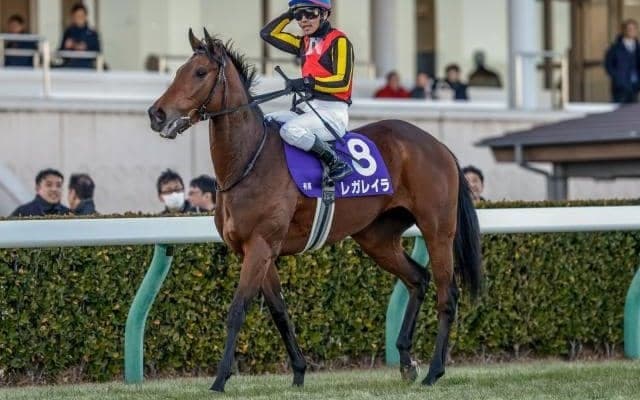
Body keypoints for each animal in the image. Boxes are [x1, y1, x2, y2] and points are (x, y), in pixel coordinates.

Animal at [148, 29, 482, 392]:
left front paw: (220, 378)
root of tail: (439, 146)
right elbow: (279, 311)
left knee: (447, 294)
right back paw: (406, 362)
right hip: (377, 237)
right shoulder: (257, 251)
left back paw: (434, 371)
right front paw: (298, 372)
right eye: (178, 71)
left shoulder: (260, 245)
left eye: (199, 73)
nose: (157, 114)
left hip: (438, 230)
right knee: (418, 279)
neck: (248, 160)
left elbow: (237, 310)